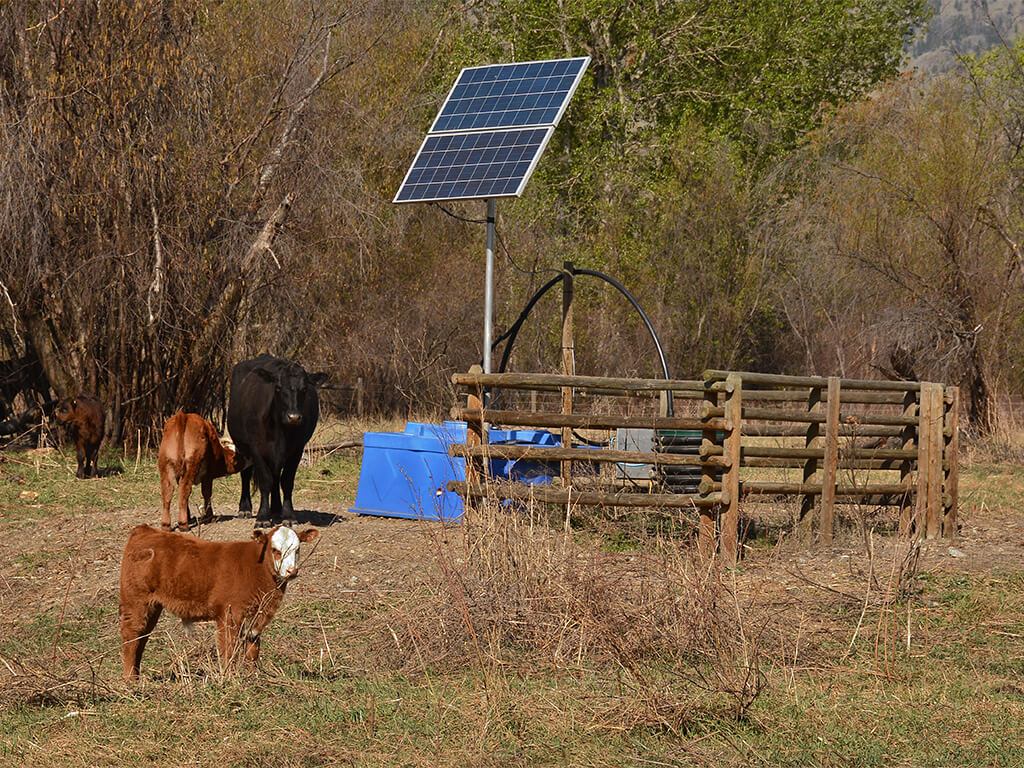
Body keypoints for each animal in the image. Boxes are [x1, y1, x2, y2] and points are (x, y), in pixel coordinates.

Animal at [117, 528, 315, 684]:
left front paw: (253, 676)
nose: (292, 571)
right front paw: (229, 677)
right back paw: (129, 679)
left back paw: (136, 676)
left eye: (297, 549)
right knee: (131, 635)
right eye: (275, 550)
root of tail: (146, 530)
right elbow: (229, 648)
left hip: (153, 606)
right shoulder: (230, 615)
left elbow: (253, 649)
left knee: (142, 637)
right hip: (136, 601)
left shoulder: (255, 618)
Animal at [226, 356, 325, 528]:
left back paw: (277, 509)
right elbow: (266, 480)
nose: (294, 417)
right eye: (278, 388)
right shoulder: (256, 448)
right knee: (246, 474)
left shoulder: (297, 449)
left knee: (276, 476)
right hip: (242, 446)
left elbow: (286, 481)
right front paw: (262, 517)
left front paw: (288, 515)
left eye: (304, 389)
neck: (280, 431)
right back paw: (245, 508)